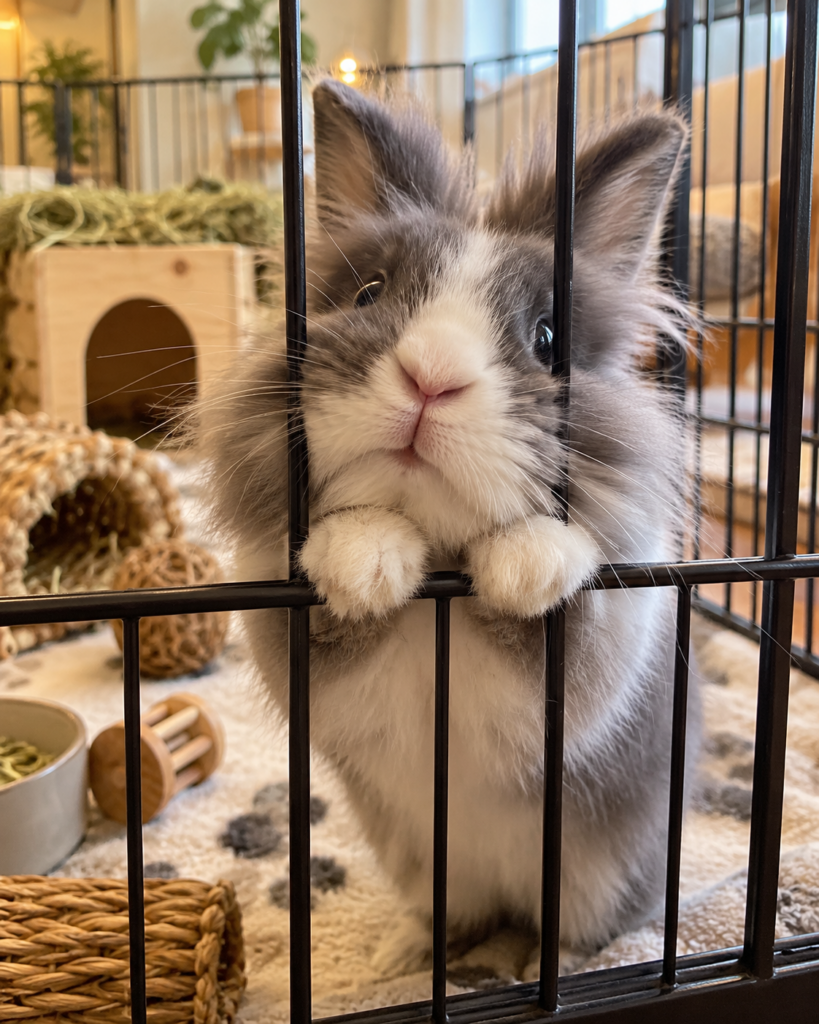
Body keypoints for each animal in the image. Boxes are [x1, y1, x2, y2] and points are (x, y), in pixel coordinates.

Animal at [199, 79, 700, 975]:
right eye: (369, 293)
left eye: (546, 339)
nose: (430, 377)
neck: (440, 571)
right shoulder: (287, 633)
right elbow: (337, 603)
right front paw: (364, 558)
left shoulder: (596, 663)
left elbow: (558, 616)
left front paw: (525, 566)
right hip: (427, 866)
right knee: (456, 917)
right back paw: (400, 956)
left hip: (595, 878)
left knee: (582, 931)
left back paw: (541, 966)